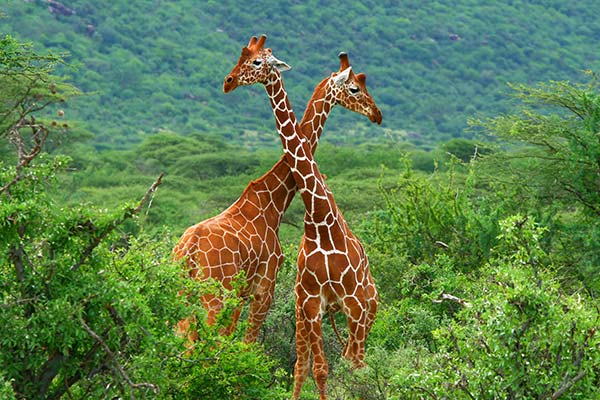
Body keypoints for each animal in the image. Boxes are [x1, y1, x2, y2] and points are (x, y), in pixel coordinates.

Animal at [173, 36, 380, 346]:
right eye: (355, 87)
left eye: (254, 60)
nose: (376, 114)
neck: (274, 201)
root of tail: (188, 250)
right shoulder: (264, 287)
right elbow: (247, 345)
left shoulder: (244, 292)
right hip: (214, 295)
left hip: (183, 292)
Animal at [223, 35, 382, 400]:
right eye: (355, 88)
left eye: (256, 61)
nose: (377, 114)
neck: (321, 219)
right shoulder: (309, 301)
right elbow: (316, 368)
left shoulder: (351, 302)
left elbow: (347, 366)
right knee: (318, 362)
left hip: (366, 306)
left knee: (358, 360)